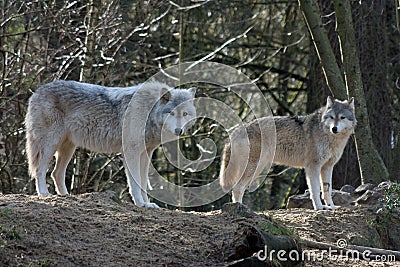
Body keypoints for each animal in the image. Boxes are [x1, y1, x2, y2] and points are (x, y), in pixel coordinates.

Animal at [25, 80, 196, 208]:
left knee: (56, 173)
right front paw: (140, 203)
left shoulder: (146, 153)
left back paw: (67, 196)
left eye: (185, 114)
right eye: (171, 113)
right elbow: (135, 182)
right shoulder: (131, 152)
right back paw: (44, 194)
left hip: (68, 148)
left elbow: (143, 183)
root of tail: (37, 91)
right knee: (40, 170)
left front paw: (147, 204)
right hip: (50, 144)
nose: (179, 130)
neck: (150, 111)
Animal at [219, 97, 356, 211]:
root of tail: (236, 130)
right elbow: (316, 190)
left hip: (256, 170)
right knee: (237, 188)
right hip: (253, 169)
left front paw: (331, 206)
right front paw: (319, 207)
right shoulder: (313, 167)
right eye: (332, 117)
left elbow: (327, 189)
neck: (329, 136)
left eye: (342, 118)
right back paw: (240, 208)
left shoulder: (327, 167)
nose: (334, 129)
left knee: (238, 188)